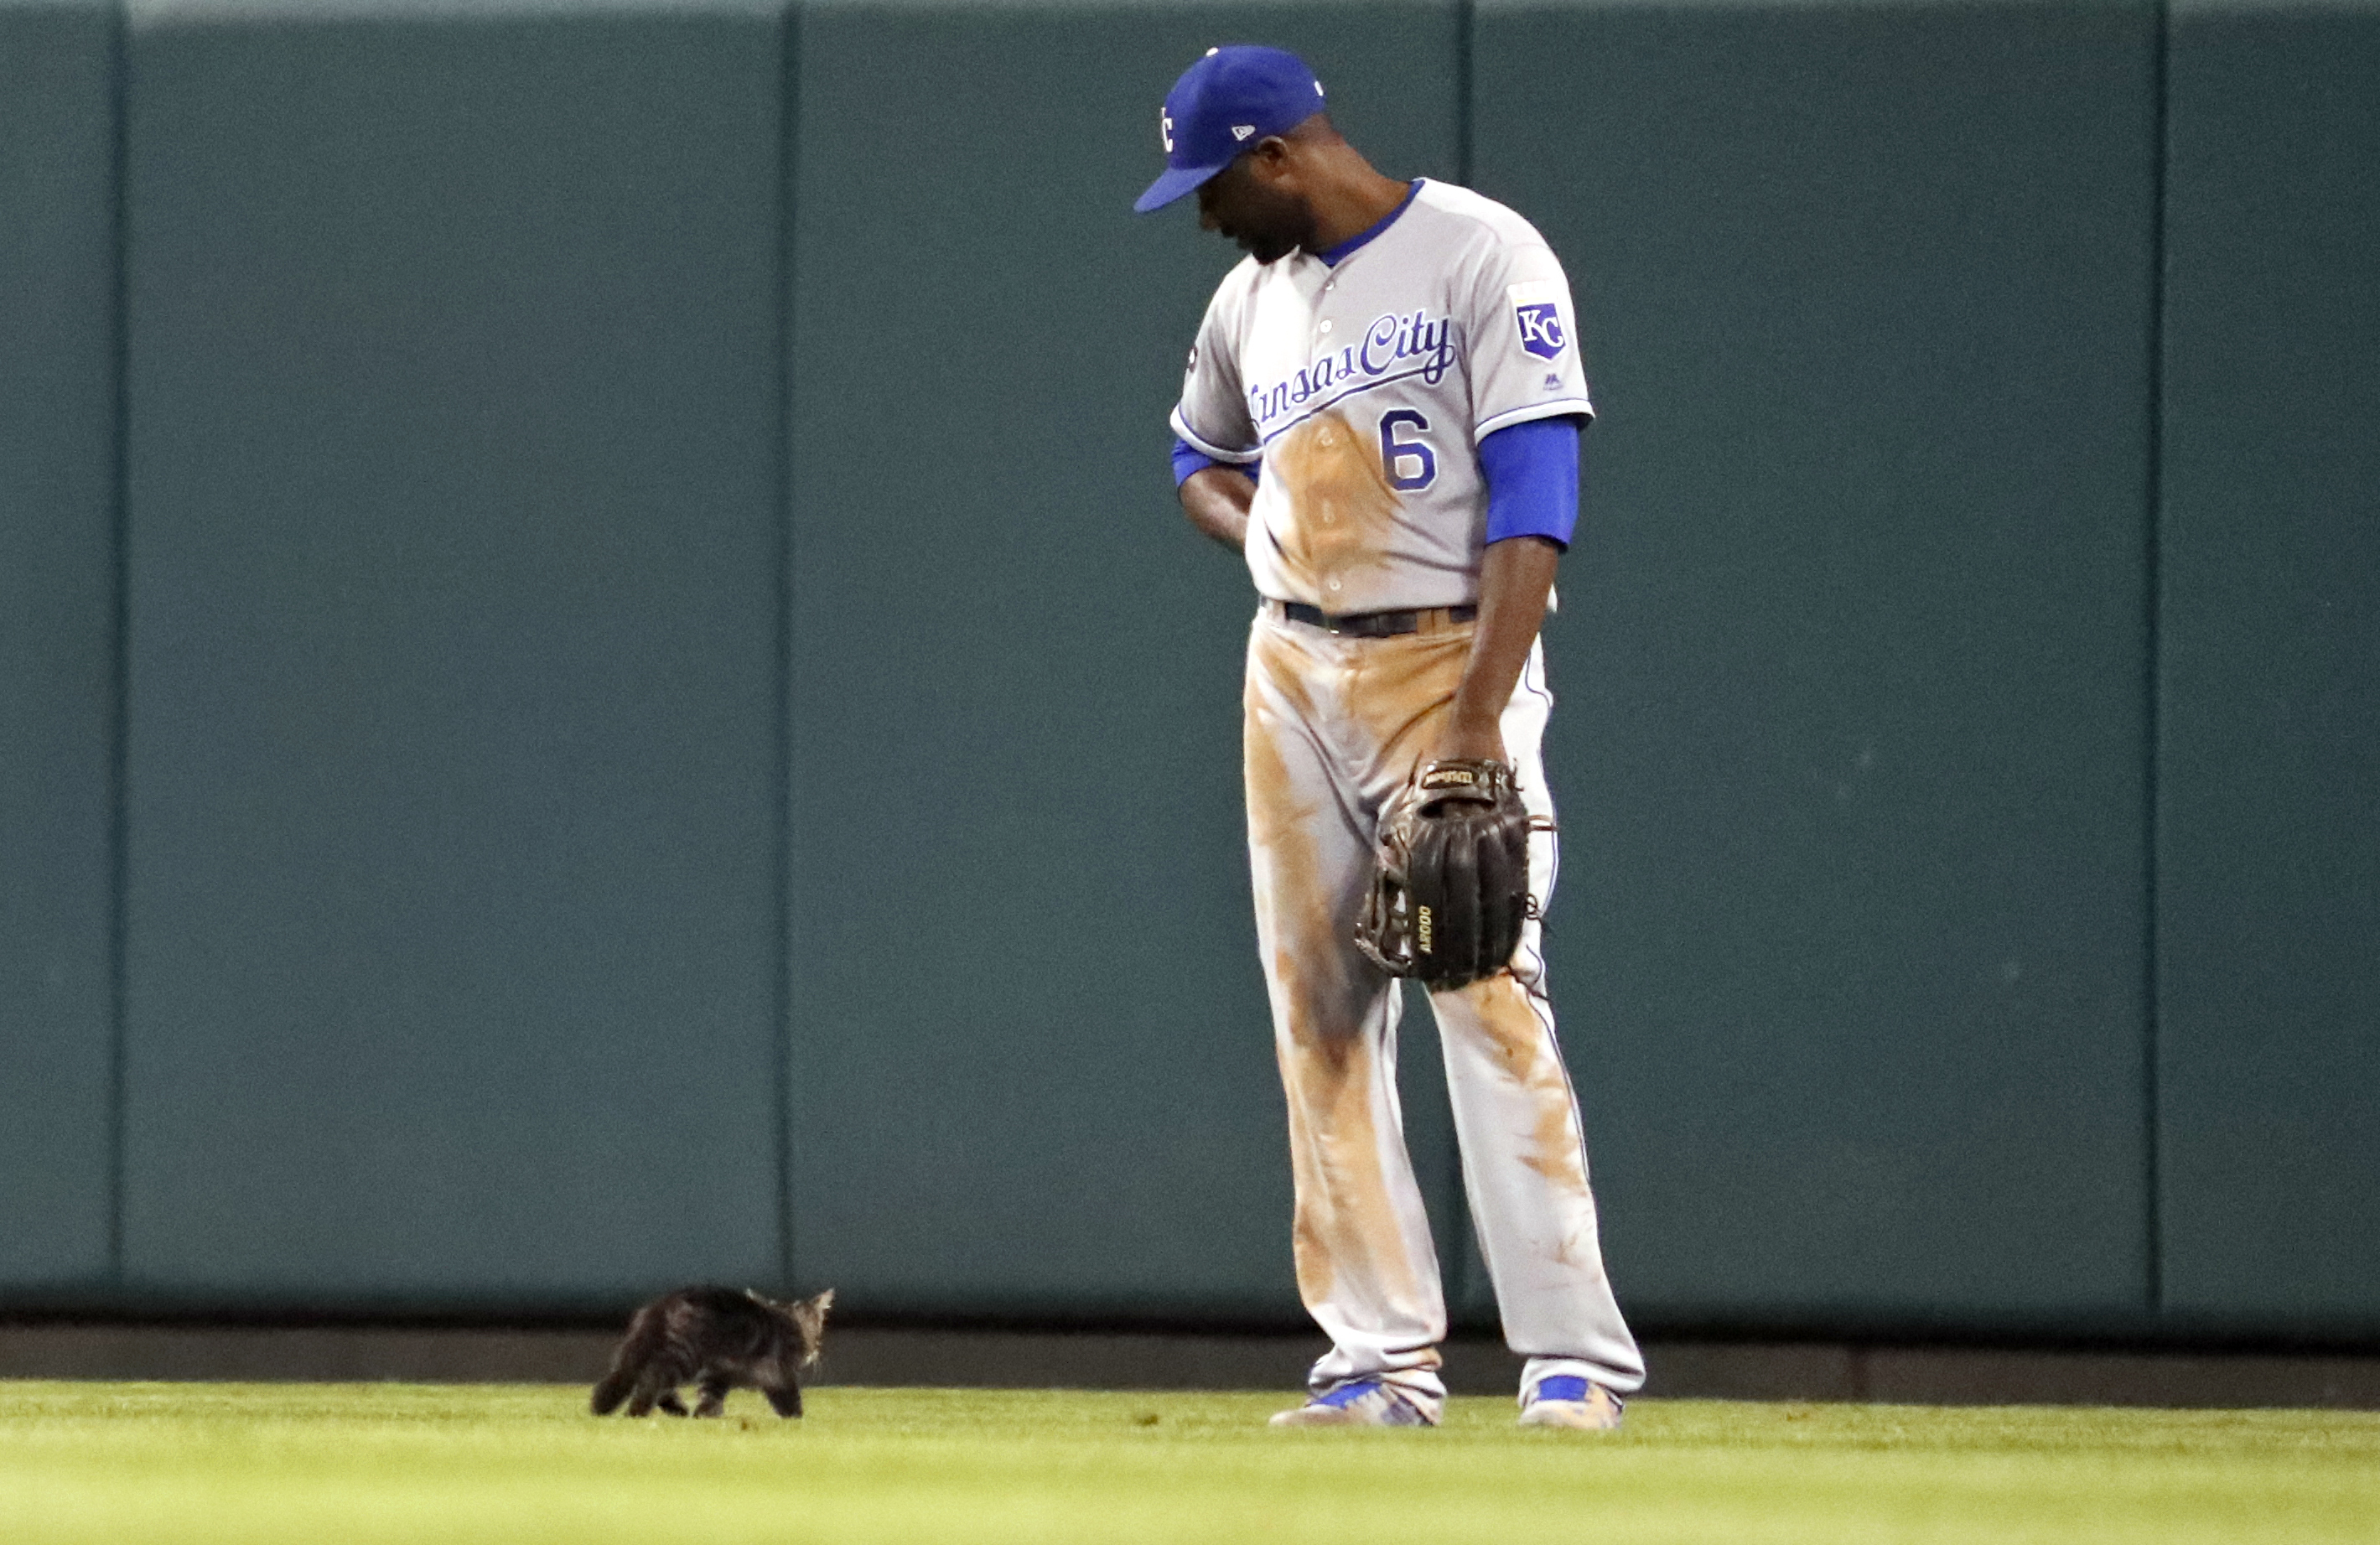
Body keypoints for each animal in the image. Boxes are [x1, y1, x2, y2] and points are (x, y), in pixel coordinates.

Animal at [588, 1285, 837, 1418]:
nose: (813, 1351)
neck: (788, 1323)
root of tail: (660, 1306)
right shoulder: (775, 1370)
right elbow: (788, 1395)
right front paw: (796, 1418)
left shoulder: (720, 1369)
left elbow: (711, 1393)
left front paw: (706, 1415)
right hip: (683, 1356)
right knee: (652, 1379)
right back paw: (638, 1411)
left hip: (643, 1351)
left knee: (625, 1378)